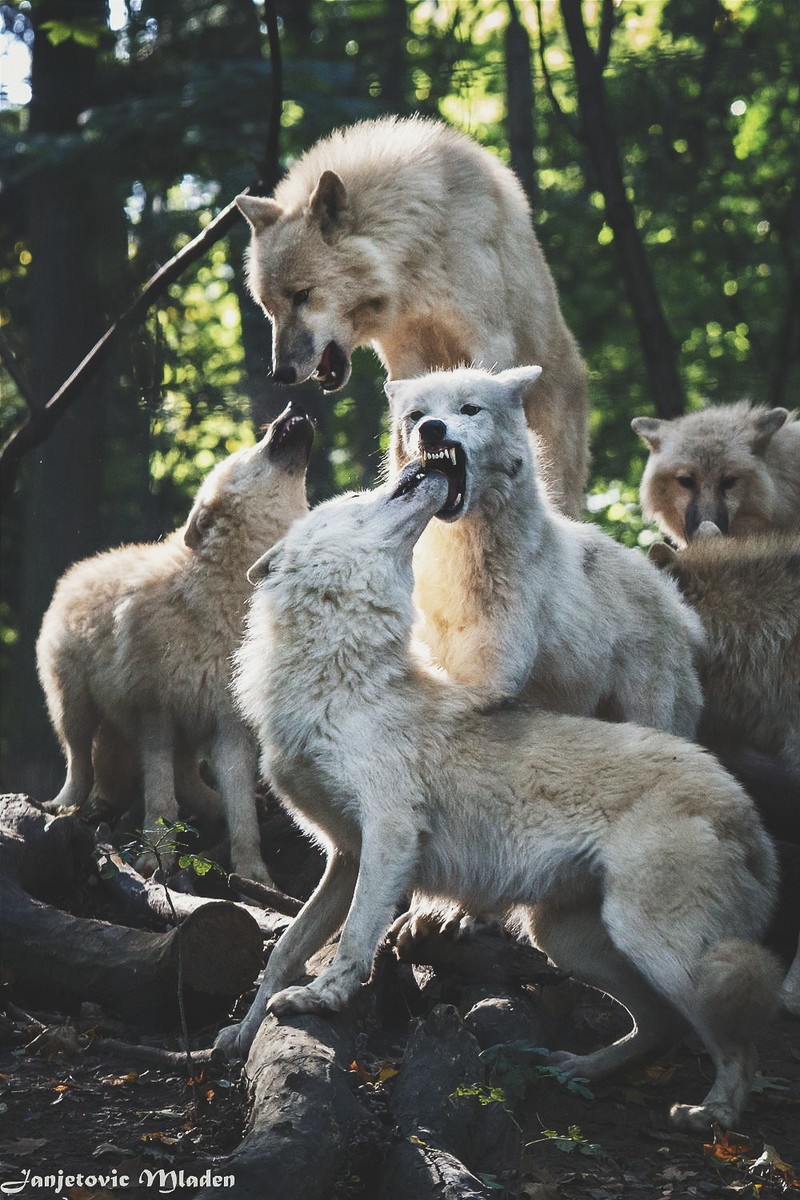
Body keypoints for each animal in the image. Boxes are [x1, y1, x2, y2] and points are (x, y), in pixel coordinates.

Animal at [36, 408, 311, 878]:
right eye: (253, 445)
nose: (290, 410)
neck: (226, 596)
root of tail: (81, 568)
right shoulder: (155, 714)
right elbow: (160, 800)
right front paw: (156, 859)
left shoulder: (229, 725)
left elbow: (242, 815)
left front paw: (252, 874)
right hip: (75, 710)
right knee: (80, 766)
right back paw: (63, 807)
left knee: (189, 779)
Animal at [215, 463, 777, 1128]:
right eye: (357, 496)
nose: (421, 467)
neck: (344, 679)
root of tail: (745, 810)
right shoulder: (345, 856)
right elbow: (284, 951)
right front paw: (242, 1034)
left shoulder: (388, 835)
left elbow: (352, 940)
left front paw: (320, 1001)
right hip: (568, 939)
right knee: (661, 1025)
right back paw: (580, 1068)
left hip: (655, 944)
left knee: (735, 1042)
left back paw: (712, 1115)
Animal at [388, 364, 705, 739]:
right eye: (416, 415)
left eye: (470, 409)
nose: (431, 428)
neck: (457, 554)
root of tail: (676, 603)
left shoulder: (491, 674)